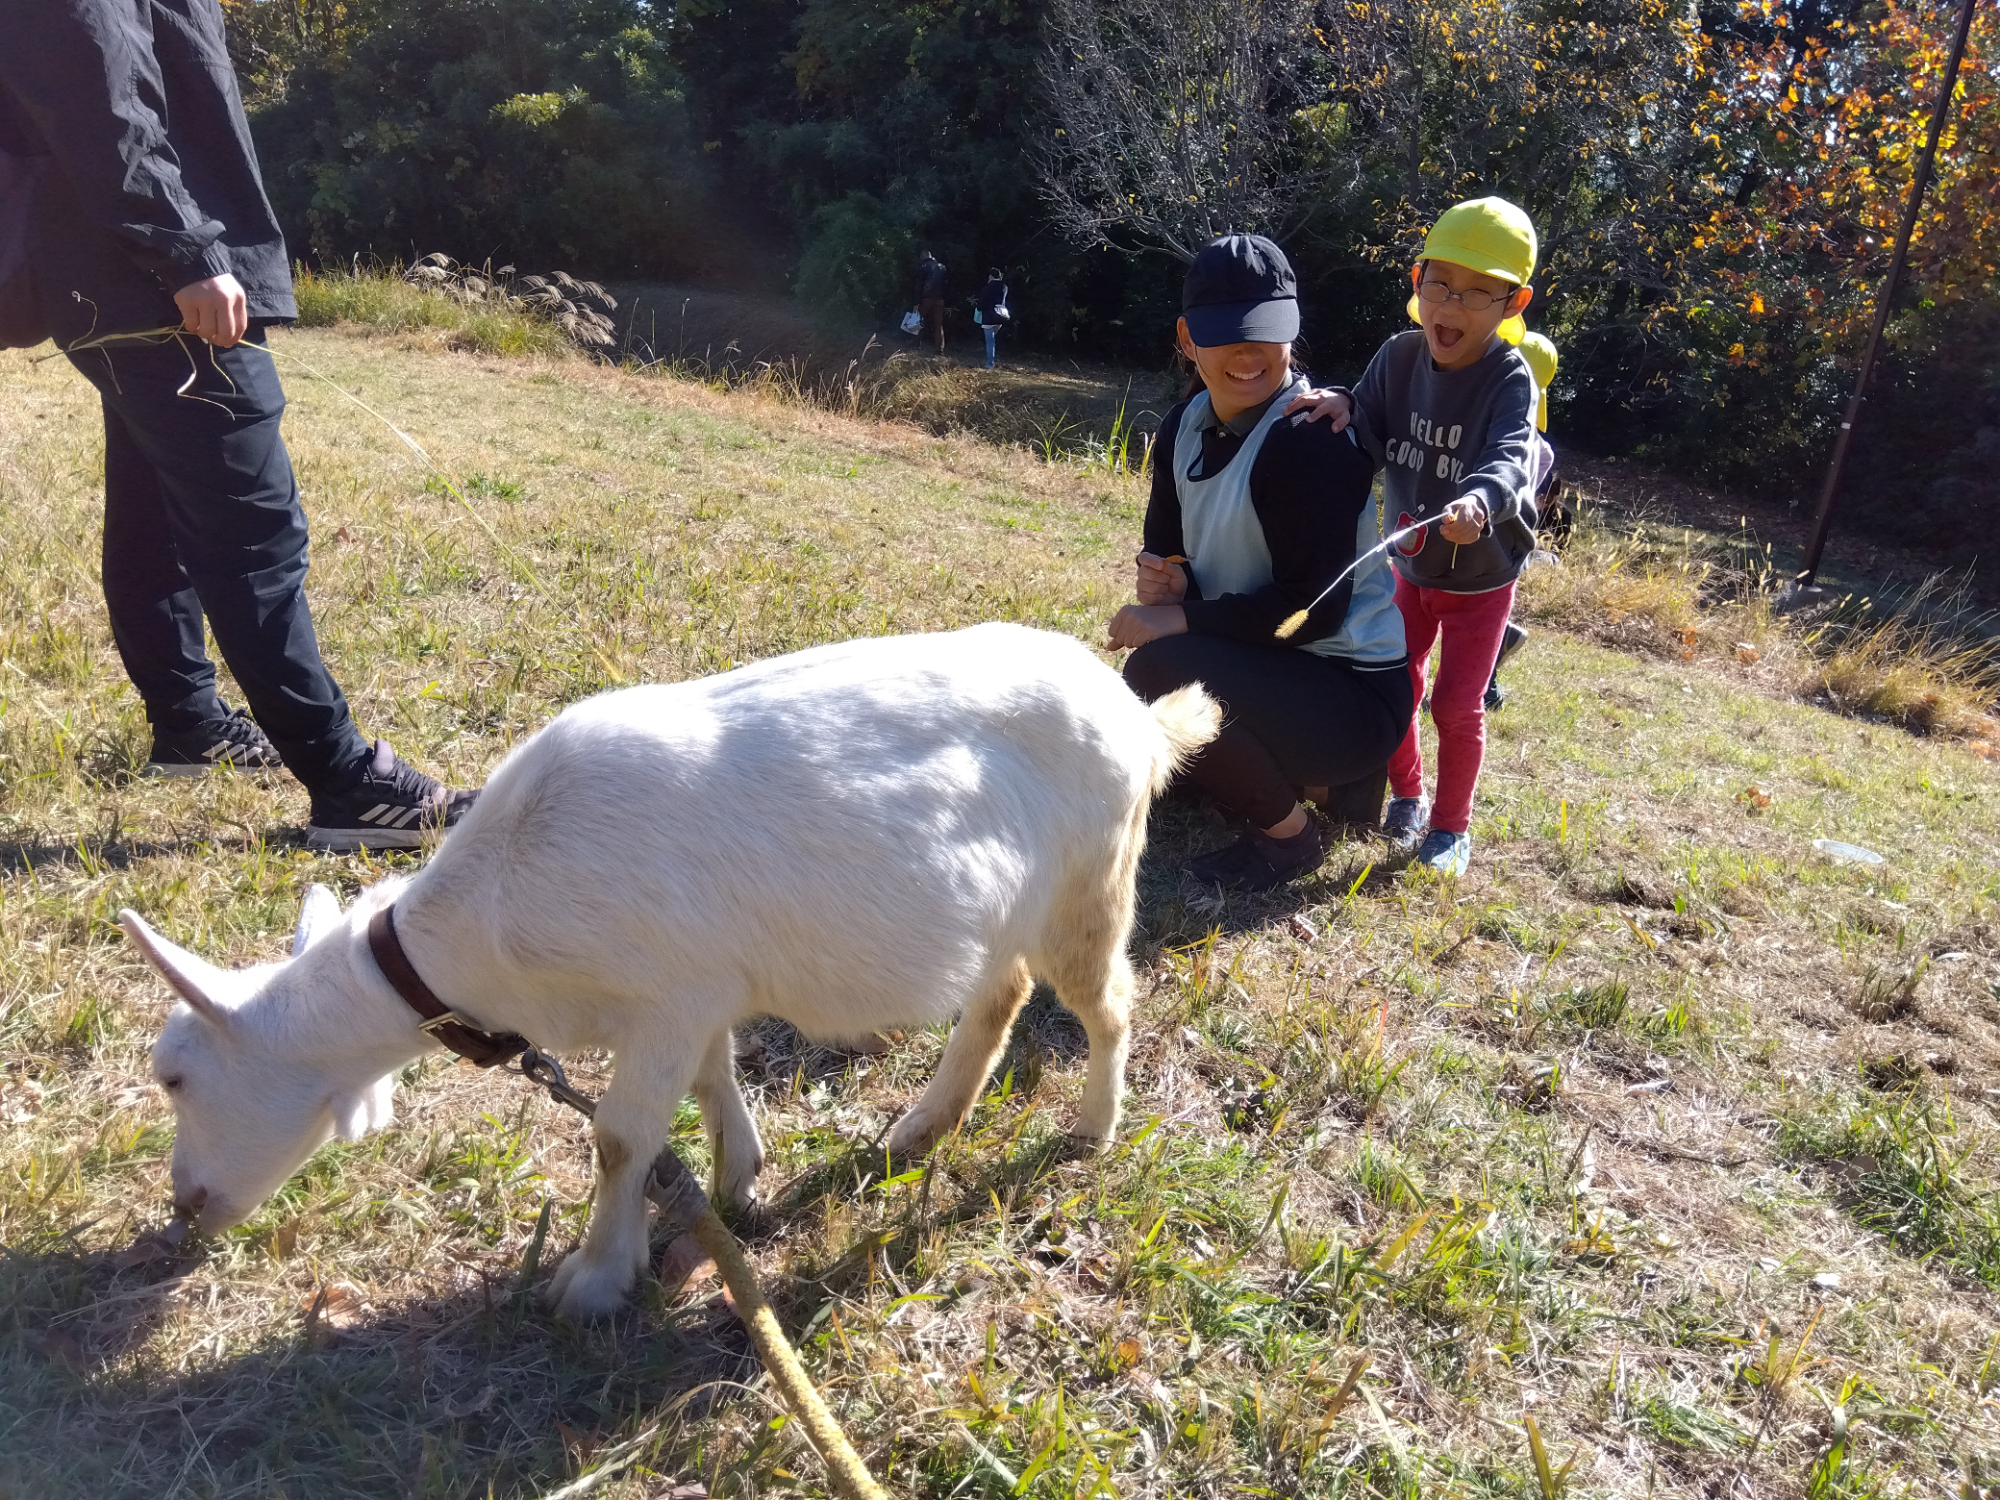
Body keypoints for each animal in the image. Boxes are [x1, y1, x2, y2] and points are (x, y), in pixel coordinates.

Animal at [129, 624, 1216, 1312]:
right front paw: (741, 1182)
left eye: (174, 1075)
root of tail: (1138, 716)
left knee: (1107, 1002)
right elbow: (713, 1078)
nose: (184, 1210)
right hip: (1007, 911)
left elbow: (618, 1138)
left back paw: (1091, 1126)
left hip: (1091, 881)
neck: (488, 916)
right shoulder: (697, 993)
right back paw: (920, 1129)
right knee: (999, 994)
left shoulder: (664, 997)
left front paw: (593, 1281)